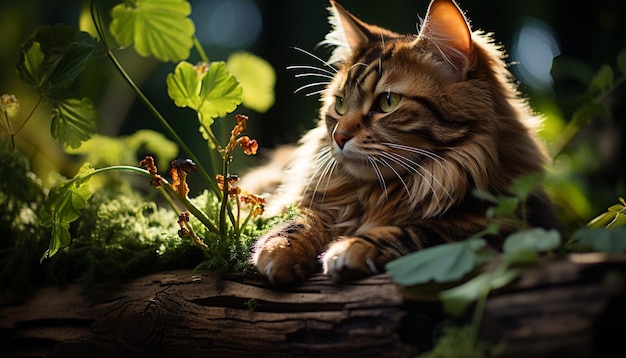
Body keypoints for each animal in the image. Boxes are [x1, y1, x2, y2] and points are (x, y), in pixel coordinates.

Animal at [246, 0, 560, 286]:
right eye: (340, 104)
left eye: (388, 102)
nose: (339, 137)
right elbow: (302, 219)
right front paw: (279, 248)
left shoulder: (504, 228)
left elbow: (420, 233)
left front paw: (354, 246)